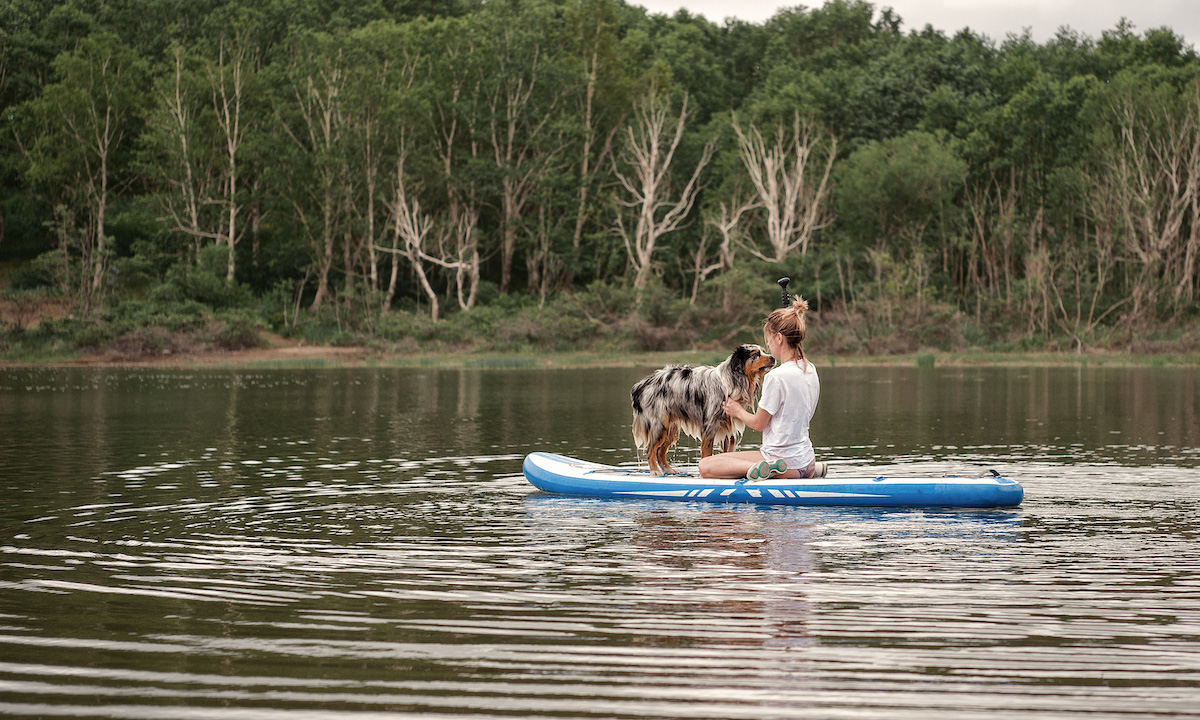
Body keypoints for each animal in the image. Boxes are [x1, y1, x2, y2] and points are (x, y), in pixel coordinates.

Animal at [628, 345, 777, 475]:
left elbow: (728, 454)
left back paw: (668, 470)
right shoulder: (710, 426)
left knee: (660, 451)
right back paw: (654, 471)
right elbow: (707, 454)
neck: (731, 381)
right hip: (659, 425)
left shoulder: (728, 429)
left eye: (764, 351)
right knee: (650, 449)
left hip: (671, 428)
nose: (773, 357)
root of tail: (640, 384)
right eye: (755, 354)